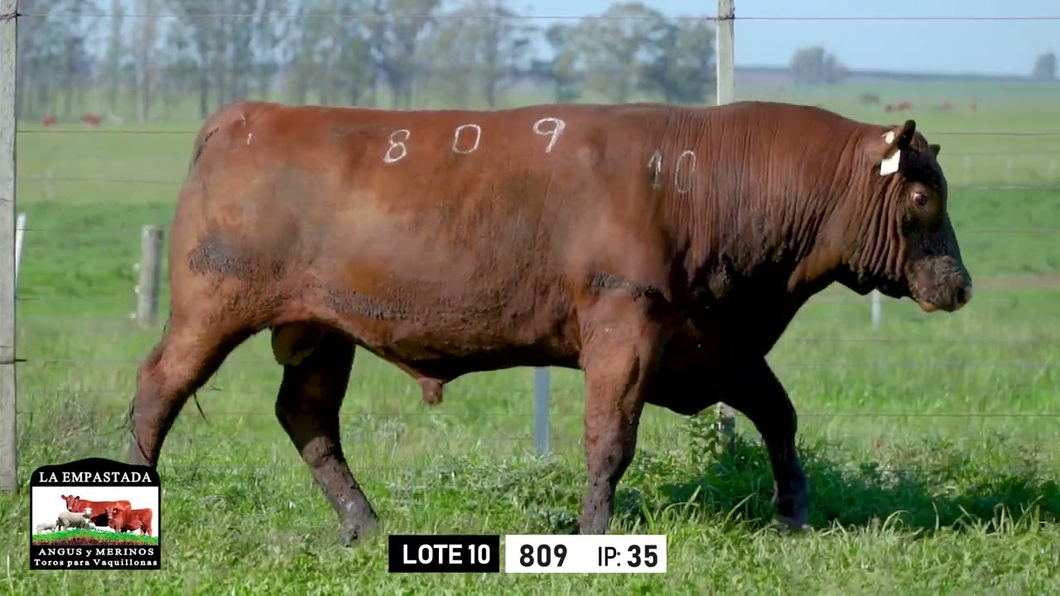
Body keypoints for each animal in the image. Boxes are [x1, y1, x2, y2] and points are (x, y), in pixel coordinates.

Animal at [121, 99, 970, 547]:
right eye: (922, 197)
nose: (960, 285)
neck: (705, 183)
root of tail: (247, 116)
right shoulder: (626, 324)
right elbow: (610, 437)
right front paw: (595, 529)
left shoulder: (716, 342)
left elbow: (778, 415)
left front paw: (793, 511)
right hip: (211, 309)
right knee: (157, 390)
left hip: (322, 333)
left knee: (307, 418)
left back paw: (363, 523)